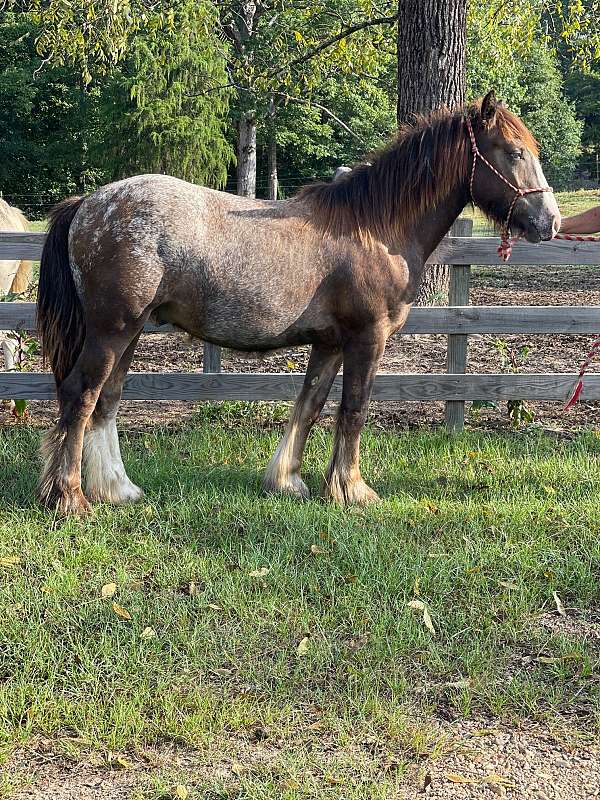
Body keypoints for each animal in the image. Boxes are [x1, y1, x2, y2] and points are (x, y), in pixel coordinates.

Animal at [36, 92, 564, 512]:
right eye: (514, 152)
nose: (551, 221)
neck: (373, 228)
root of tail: (89, 204)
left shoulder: (328, 344)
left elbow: (309, 404)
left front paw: (288, 480)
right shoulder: (367, 339)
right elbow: (353, 409)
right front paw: (352, 489)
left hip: (130, 332)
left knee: (107, 401)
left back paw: (117, 489)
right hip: (113, 331)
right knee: (81, 394)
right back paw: (70, 497)